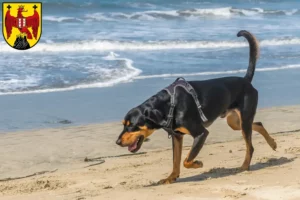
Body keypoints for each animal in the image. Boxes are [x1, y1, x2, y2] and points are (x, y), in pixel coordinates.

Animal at [115, 30, 276, 185]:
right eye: (124, 124)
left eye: (132, 125)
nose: (117, 142)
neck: (168, 105)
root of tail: (245, 81)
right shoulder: (177, 136)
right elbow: (176, 161)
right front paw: (171, 178)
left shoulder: (201, 133)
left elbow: (186, 160)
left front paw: (197, 164)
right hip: (235, 122)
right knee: (258, 124)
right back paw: (272, 143)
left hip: (244, 119)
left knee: (250, 146)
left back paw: (244, 166)